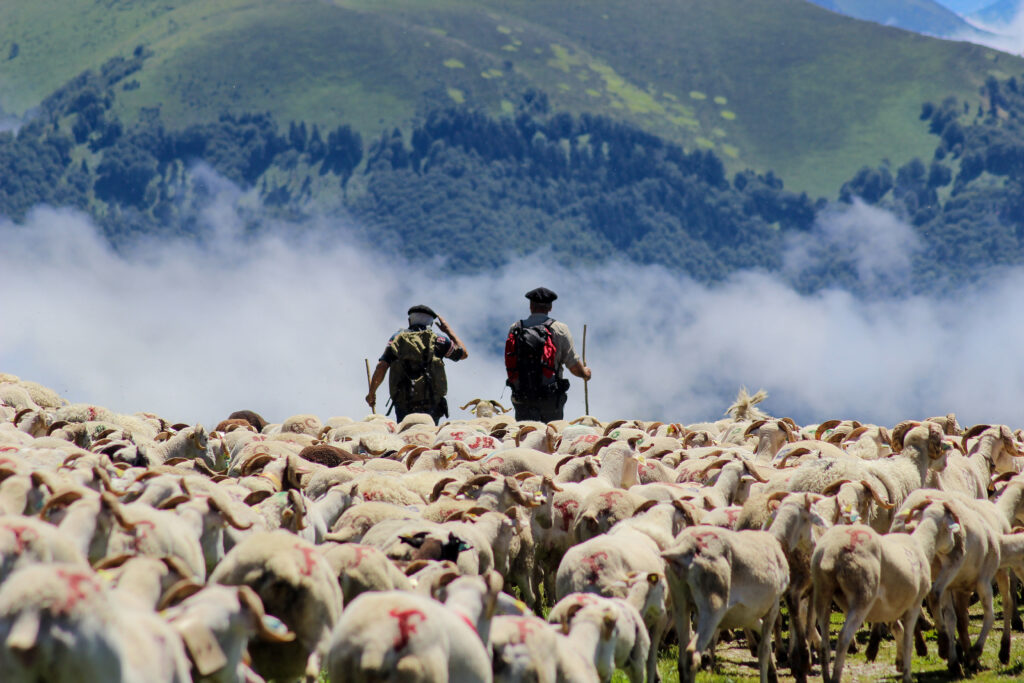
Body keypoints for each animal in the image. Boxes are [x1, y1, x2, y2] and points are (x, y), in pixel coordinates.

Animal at [659, 528, 786, 683]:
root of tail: (685, 545)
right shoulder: (773, 606)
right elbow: (764, 649)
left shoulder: (748, 615)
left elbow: (760, 633)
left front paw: (772, 673)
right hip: (713, 603)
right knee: (692, 653)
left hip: (679, 599)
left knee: (682, 659)